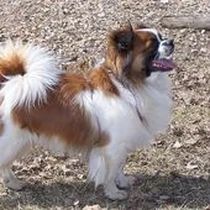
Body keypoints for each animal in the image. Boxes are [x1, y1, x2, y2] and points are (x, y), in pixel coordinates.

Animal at [0, 23, 175, 199]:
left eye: (161, 36)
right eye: (153, 44)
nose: (171, 41)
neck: (129, 85)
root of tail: (10, 84)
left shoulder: (121, 144)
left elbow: (120, 167)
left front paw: (123, 182)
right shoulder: (111, 147)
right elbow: (110, 173)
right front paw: (113, 193)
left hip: (19, 142)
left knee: (5, 165)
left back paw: (13, 183)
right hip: (10, 141)